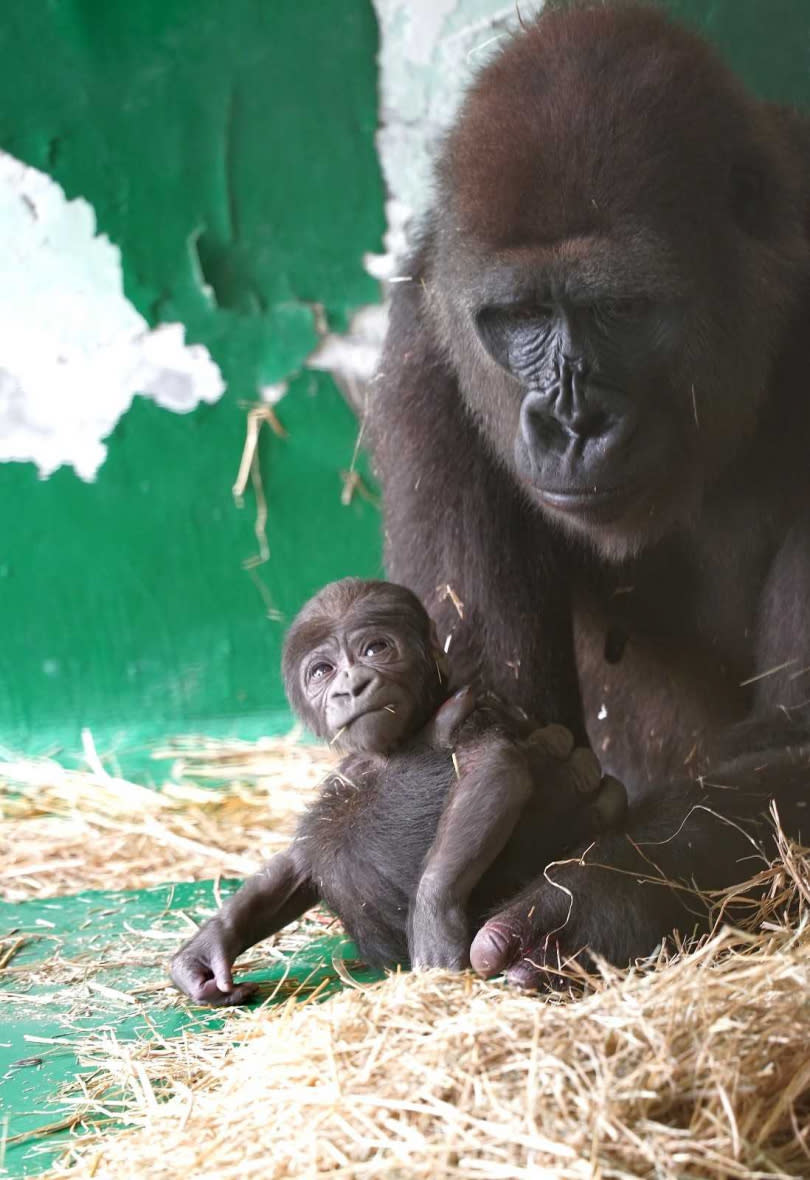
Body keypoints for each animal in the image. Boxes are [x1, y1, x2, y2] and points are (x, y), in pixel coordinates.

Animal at [172, 575, 628, 1000]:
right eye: (322, 672)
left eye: (376, 649)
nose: (351, 686)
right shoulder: (350, 764)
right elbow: (298, 861)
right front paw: (209, 946)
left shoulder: (469, 706)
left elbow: (491, 770)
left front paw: (434, 918)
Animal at [368, 2, 810, 986]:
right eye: (523, 318)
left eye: (620, 309)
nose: (572, 424)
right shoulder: (425, 343)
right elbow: (483, 729)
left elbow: (794, 732)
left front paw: (602, 894)